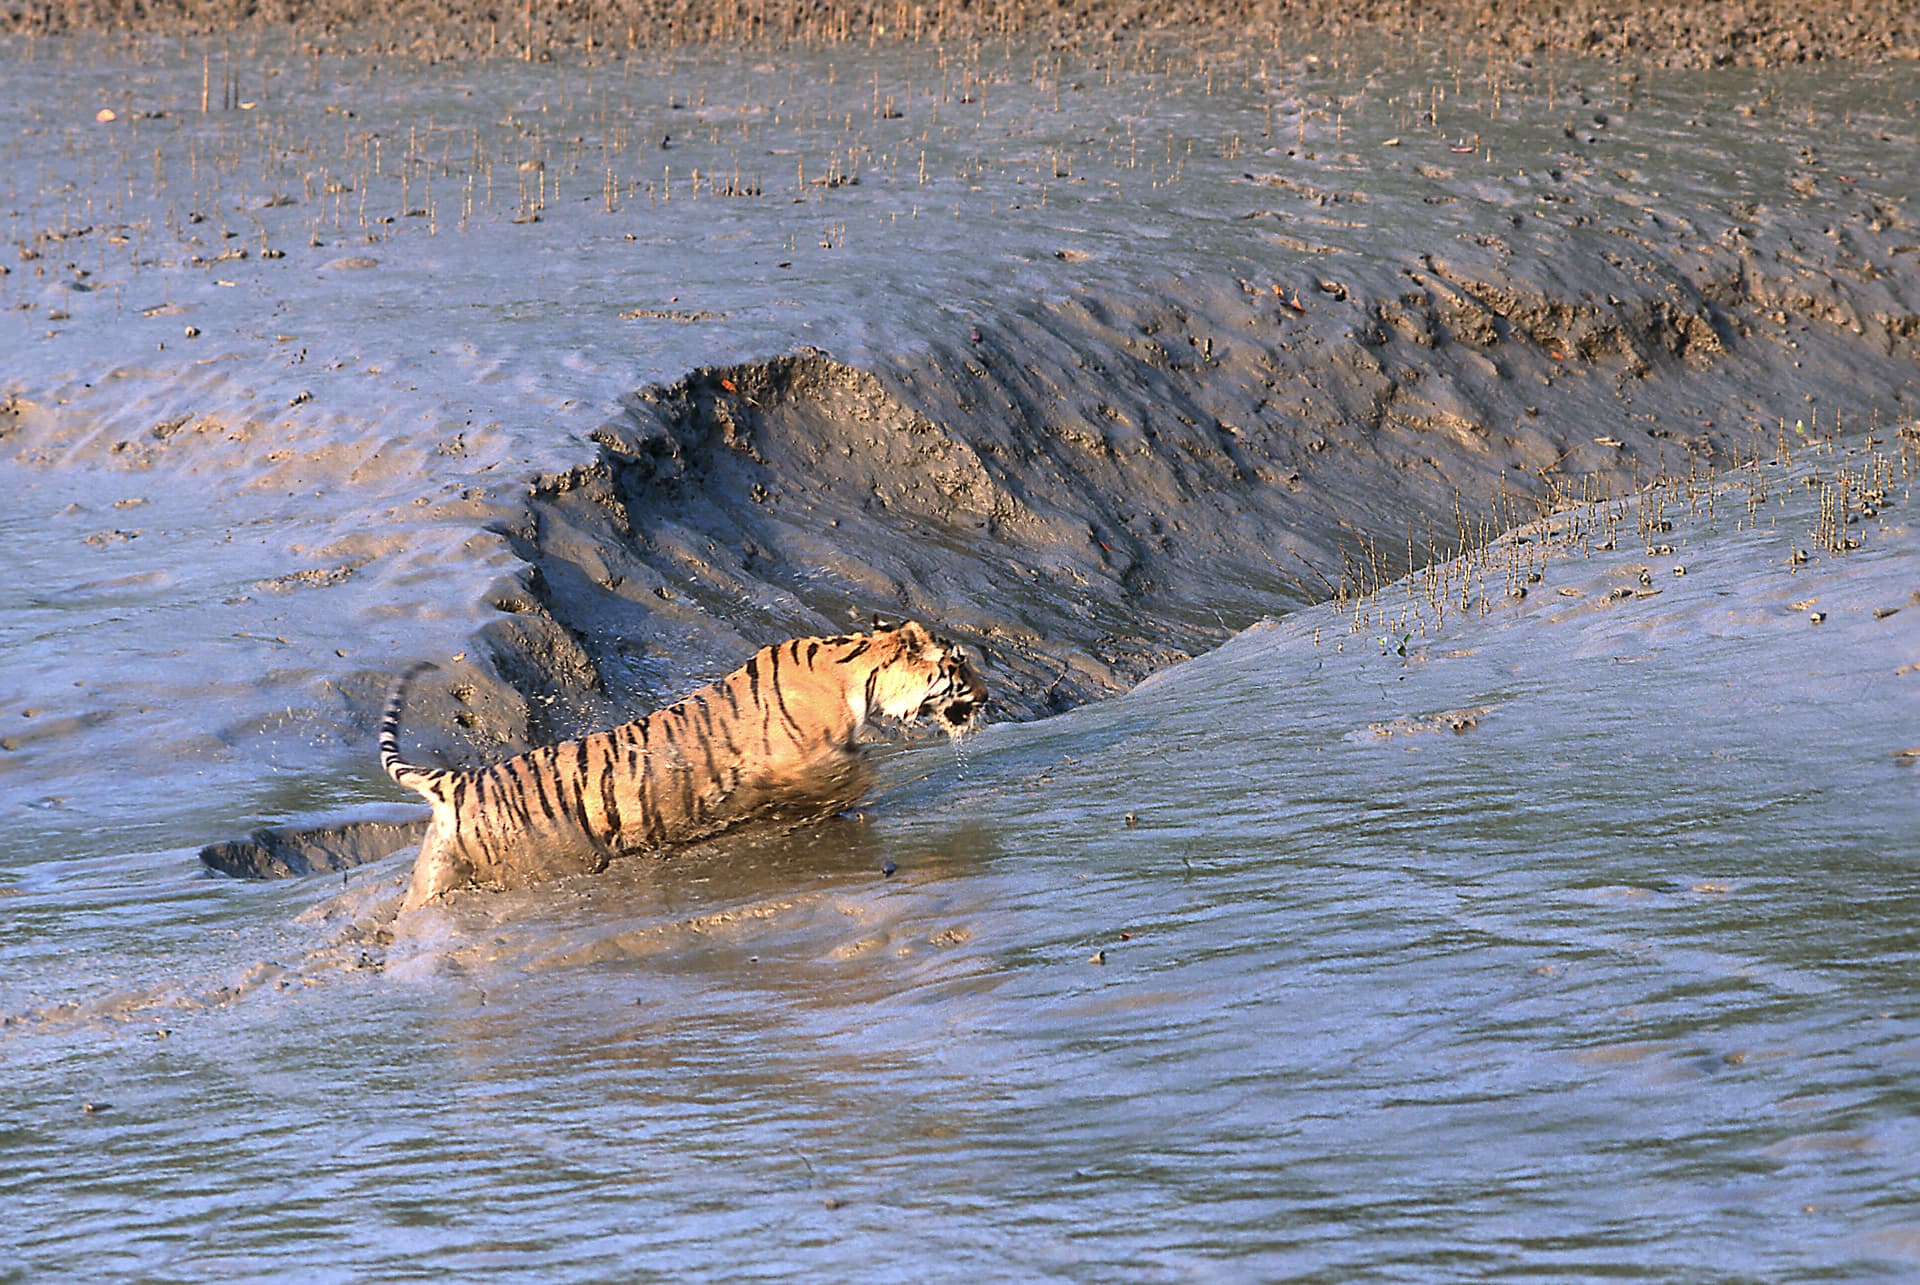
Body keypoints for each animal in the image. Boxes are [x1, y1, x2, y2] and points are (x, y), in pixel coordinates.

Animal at [380, 621, 986, 912]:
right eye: (960, 666)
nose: (987, 697)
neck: (858, 673)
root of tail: (459, 780)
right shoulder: (795, 761)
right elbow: (842, 780)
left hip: (437, 871)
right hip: (552, 857)